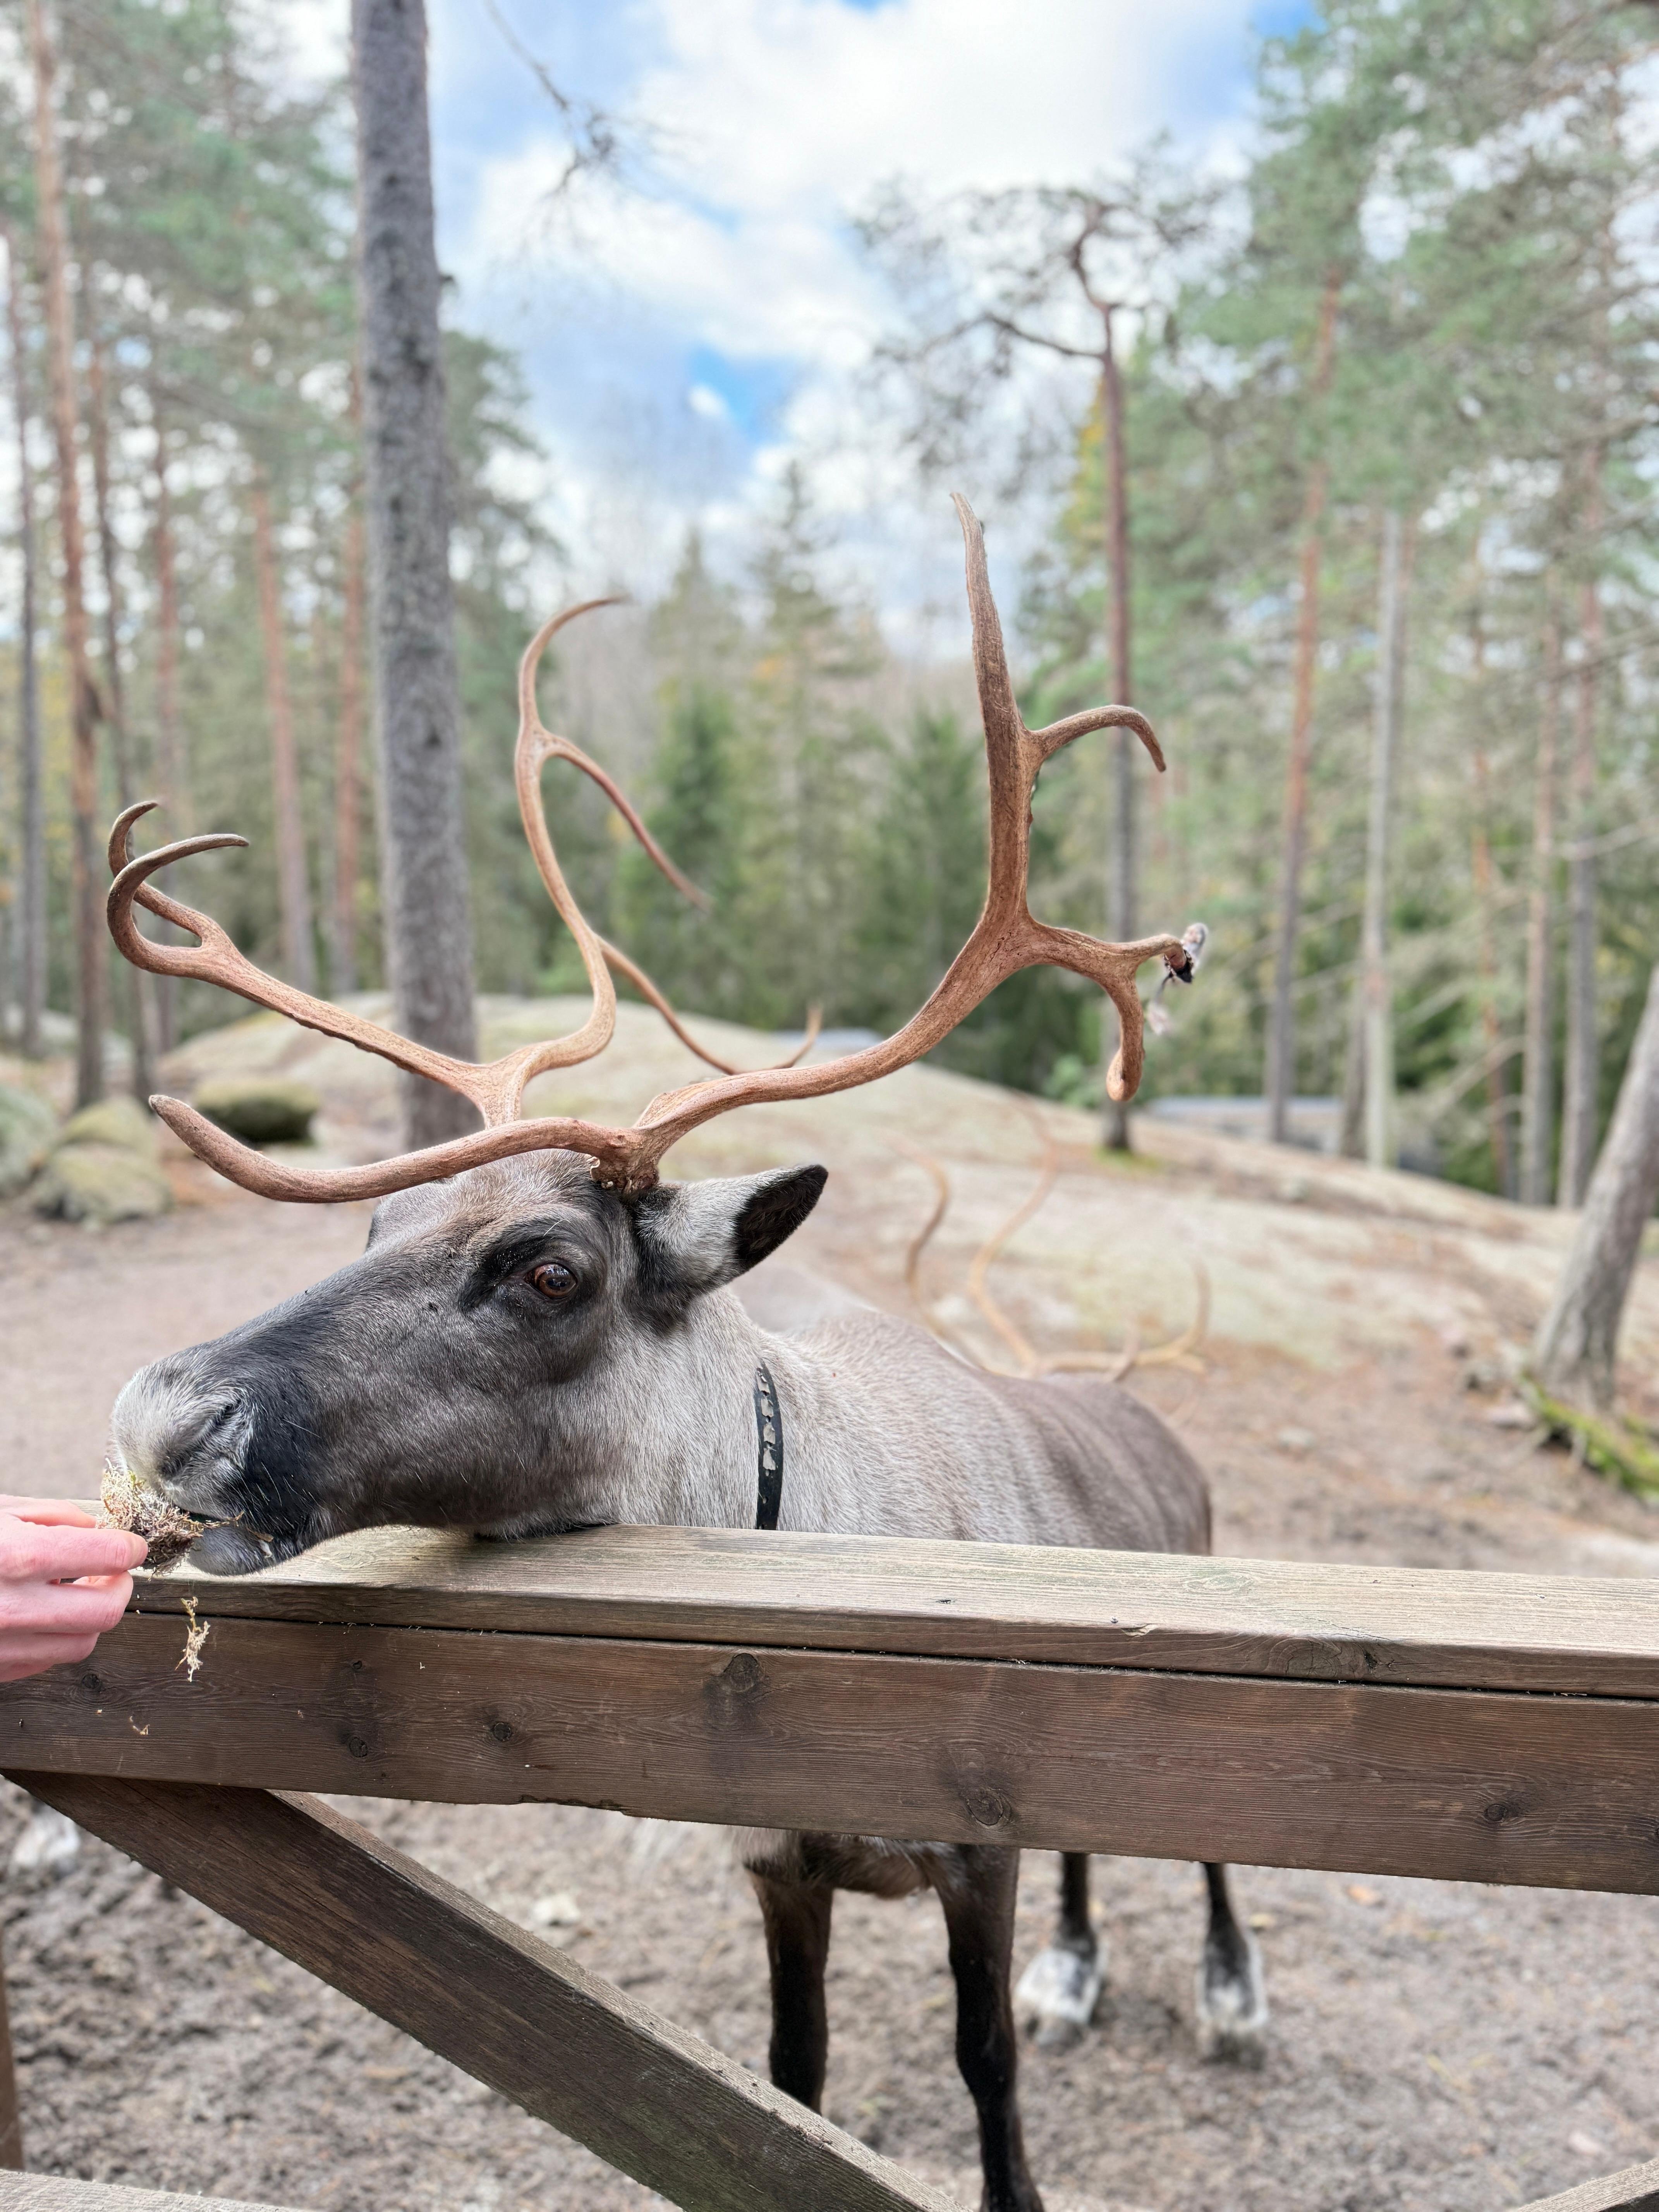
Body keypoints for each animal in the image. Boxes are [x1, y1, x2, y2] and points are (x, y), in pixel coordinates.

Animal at [102, 497, 1267, 2212]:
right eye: (379, 1227)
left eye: (549, 1267)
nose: (164, 1407)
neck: (796, 1547)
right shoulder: (776, 1864)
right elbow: (795, 2076)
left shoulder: (973, 1835)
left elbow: (984, 2066)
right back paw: (1080, 1965)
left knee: (1201, 1847)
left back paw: (1228, 1987)